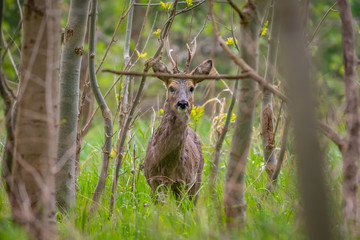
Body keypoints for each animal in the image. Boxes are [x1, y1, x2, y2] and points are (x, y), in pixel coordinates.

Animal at [143, 55, 214, 202]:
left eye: (191, 88)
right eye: (171, 88)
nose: (182, 103)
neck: (168, 167)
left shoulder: (182, 182)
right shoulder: (153, 180)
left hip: (198, 178)